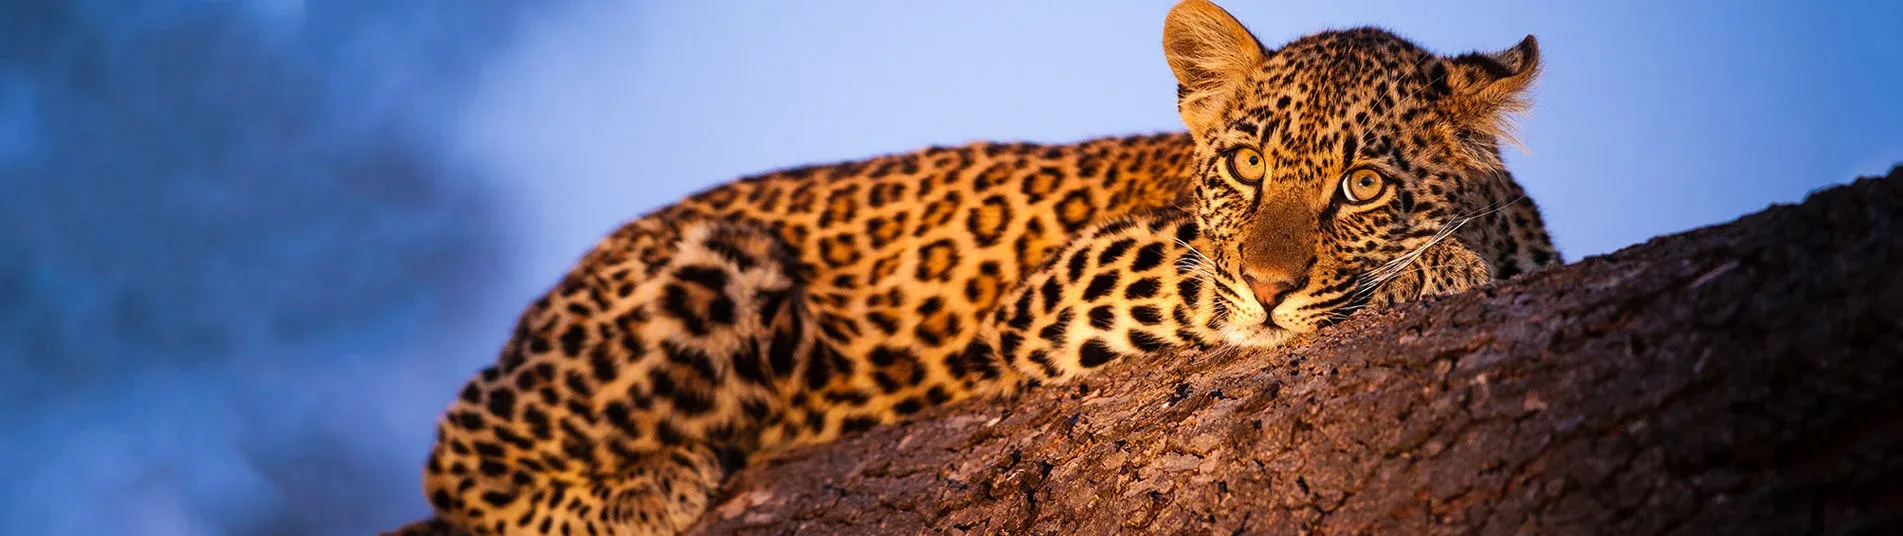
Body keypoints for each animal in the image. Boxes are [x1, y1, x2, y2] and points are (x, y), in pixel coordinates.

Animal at [387, 1, 1561, 534]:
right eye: (1243, 166)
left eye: (1358, 186)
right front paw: (1427, 274)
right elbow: (1217, 282)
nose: (1274, 283)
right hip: (717, 262)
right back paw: (646, 484)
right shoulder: (1080, 278)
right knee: (452, 459)